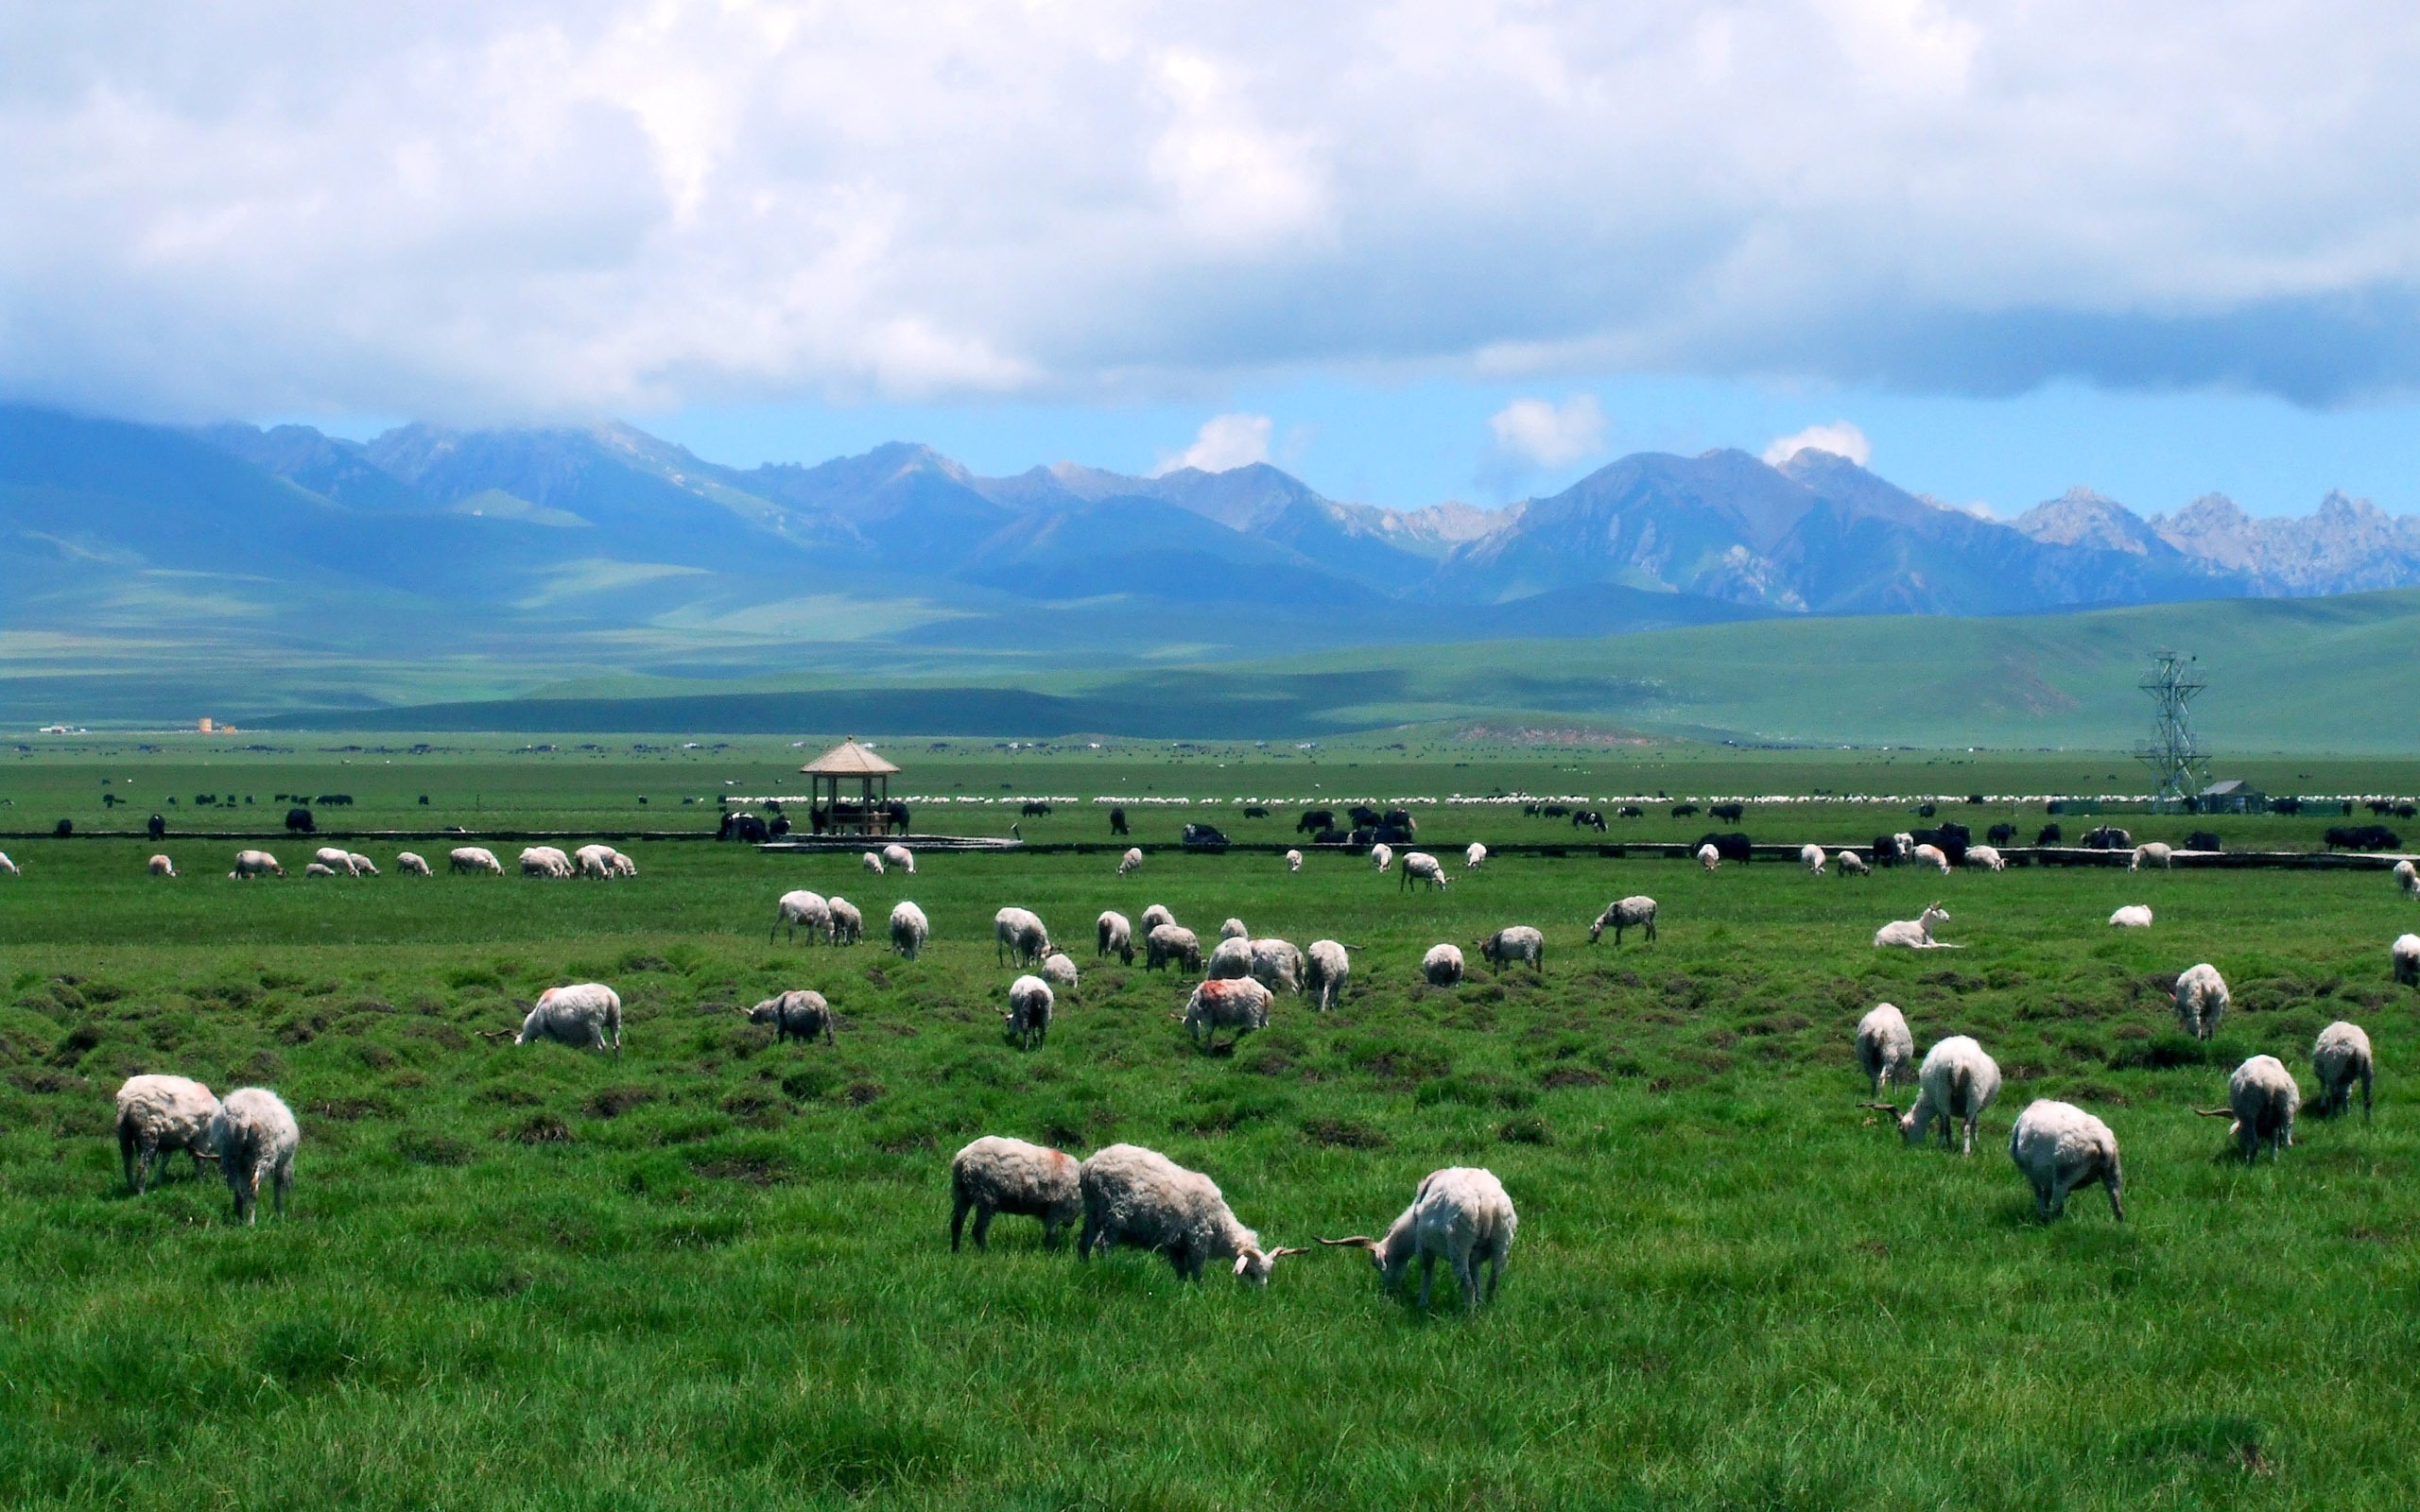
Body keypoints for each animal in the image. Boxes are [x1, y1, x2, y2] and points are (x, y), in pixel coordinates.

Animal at [209, 1083, 299, 1228]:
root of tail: (244, 1116)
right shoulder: (280, 1166)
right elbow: (277, 1190)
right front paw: (280, 1215)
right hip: (265, 1153)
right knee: (253, 1187)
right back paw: (251, 1223)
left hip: (231, 1155)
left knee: (238, 1190)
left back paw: (240, 1218)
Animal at [948, 1132, 1083, 1247]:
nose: (1070, 1224)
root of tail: (964, 1157)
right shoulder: (1056, 1209)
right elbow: (1052, 1234)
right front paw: (1049, 1252)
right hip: (985, 1195)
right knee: (978, 1229)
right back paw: (985, 1251)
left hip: (961, 1192)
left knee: (956, 1224)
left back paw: (956, 1251)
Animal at [1079, 1137, 1306, 1277]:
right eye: (1251, 1273)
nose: (1256, 1298)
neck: (1221, 1226)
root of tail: (1090, 1165)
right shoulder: (1198, 1243)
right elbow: (1197, 1275)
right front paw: (1199, 1295)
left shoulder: (1177, 1248)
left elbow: (1182, 1274)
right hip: (1114, 1215)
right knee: (1102, 1245)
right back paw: (1107, 1268)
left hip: (1093, 1212)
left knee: (1084, 1243)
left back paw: (1084, 1267)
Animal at [1325, 1165, 1510, 1306]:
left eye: (1375, 1264)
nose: (1389, 1290)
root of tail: (1486, 1202)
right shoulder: (1475, 1258)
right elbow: (1478, 1277)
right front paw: (1480, 1303)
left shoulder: (1423, 1246)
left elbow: (1427, 1274)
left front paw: (1422, 1303)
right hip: (1502, 1240)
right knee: (1493, 1281)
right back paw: (1487, 1310)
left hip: (1459, 1244)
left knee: (1467, 1285)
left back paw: (1469, 1317)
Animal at [1877, 1035, 2013, 1156]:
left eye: (1902, 1130)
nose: (1909, 1147)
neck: (1928, 1101)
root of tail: (1957, 1061)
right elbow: (1972, 1123)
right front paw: (1975, 1142)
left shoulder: (1938, 1105)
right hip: (1970, 1093)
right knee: (1961, 1126)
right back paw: (1961, 1150)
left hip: (1947, 1093)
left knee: (1952, 1125)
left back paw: (1954, 1147)